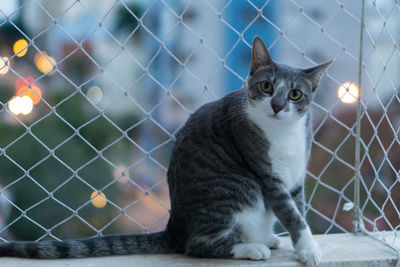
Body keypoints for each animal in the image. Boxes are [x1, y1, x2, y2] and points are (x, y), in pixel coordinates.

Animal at [0, 37, 332, 267]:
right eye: (266, 87)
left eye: (295, 94)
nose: (276, 106)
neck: (284, 135)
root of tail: (175, 226)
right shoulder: (267, 176)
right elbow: (291, 214)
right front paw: (311, 250)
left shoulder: (295, 176)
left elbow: (298, 209)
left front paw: (304, 248)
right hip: (238, 193)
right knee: (198, 245)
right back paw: (253, 247)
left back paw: (268, 239)